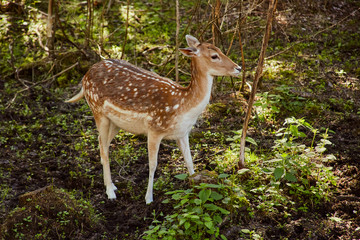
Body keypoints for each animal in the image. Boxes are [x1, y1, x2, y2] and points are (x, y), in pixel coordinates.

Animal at [67, 34, 242, 202]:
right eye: (214, 56)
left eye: (220, 50)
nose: (238, 68)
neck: (183, 106)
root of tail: (86, 75)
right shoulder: (154, 129)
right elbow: (153, 164)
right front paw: (148, 198)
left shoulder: (183, 132)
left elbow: (189, 161)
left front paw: (195, 187)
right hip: (97, 109)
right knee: (104, 147)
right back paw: (110, 192)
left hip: (116, 122)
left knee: (102, 143)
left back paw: (110, 184)